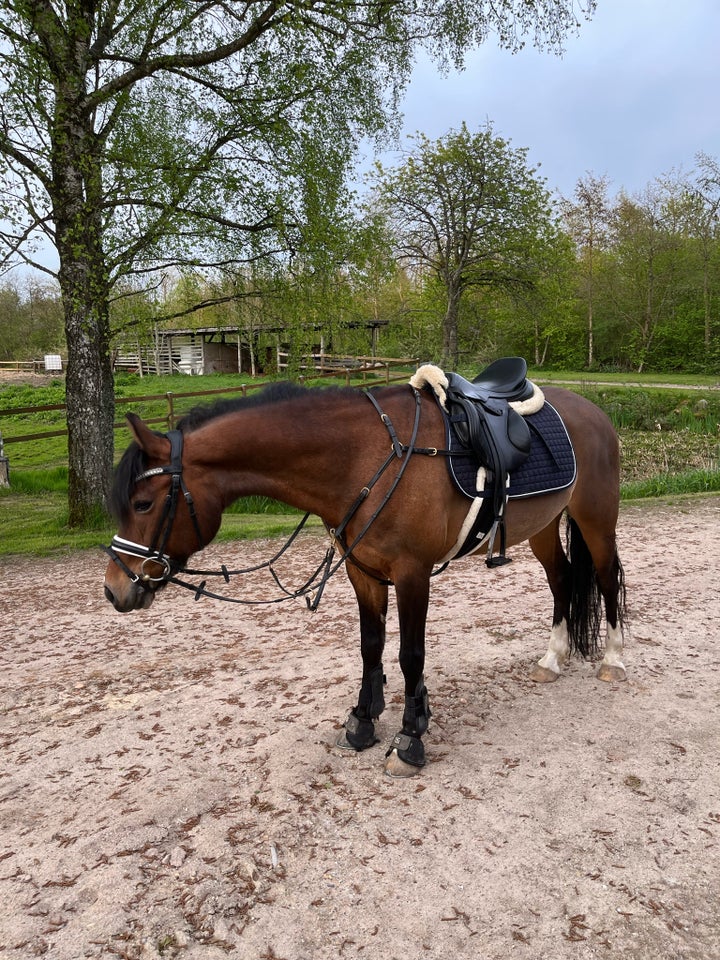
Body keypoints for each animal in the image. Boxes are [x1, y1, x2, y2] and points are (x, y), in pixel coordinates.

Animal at [104, 368, 628, 780]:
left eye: (143, 503)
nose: (114, 590)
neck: (366, 456)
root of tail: (594, 411)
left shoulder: (414, 573)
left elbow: (410, 656)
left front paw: (410, 740)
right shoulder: (363, 572)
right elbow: (370, 646)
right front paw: (363, 721)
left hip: (596, 520)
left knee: (605, 579)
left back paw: (614, 660)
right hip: (543, 526)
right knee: (562, 581)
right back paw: (552, 659)